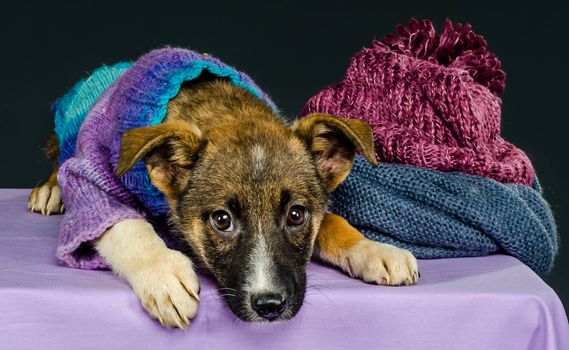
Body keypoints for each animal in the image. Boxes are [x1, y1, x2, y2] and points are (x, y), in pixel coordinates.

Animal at [28, 75, 418, 326]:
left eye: (296, 215)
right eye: (221, 220)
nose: (270, 306)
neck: (229, 112)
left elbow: (334, 221)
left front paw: (374, 250)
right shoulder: (95, 183)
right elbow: (124, 224)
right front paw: (163, 274)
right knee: (64, 164)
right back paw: (50, 189)